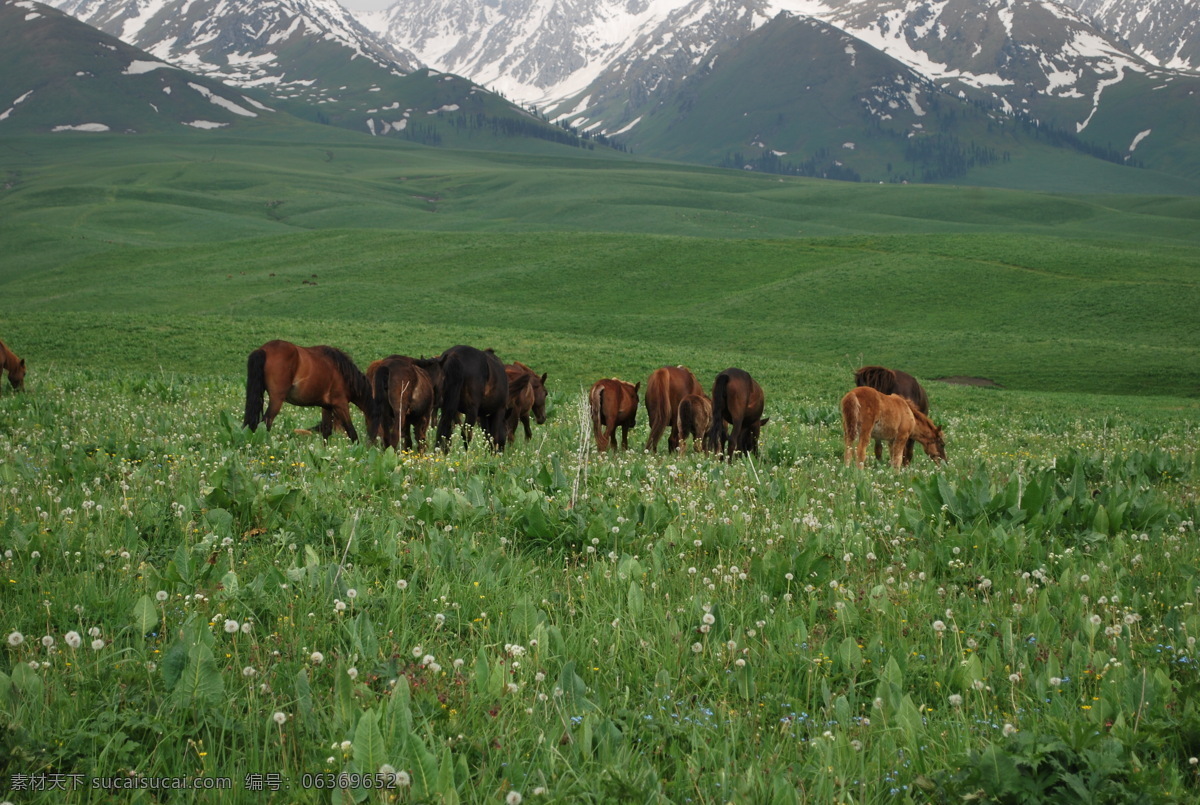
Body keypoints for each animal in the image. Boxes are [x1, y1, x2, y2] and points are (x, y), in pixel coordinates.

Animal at [242, 340, 373, 441]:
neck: (344, 374)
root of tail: (264, 350)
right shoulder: (340, 404)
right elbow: (352, 432)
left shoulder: (327, 406)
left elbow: (326, 431)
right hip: (276, 400)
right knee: (266, 422)